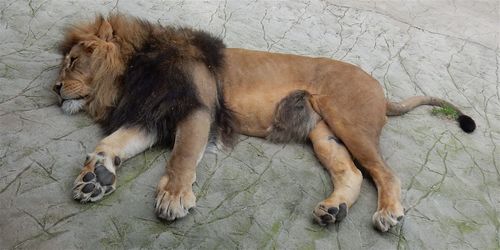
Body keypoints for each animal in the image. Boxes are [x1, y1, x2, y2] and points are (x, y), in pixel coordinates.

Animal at [53, 14, 476, 232]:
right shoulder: (152, 116)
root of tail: (380, 88)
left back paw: (388, 213)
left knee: (386, 174)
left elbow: (181, 157)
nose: (55, 88)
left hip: (349, 122)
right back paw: (333, 210)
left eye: (72, 62)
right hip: (324, 135)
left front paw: (173, 198)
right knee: (352, 173)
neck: (133, 73)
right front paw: (94, 177)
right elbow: (111, 143)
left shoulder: (198, 110)